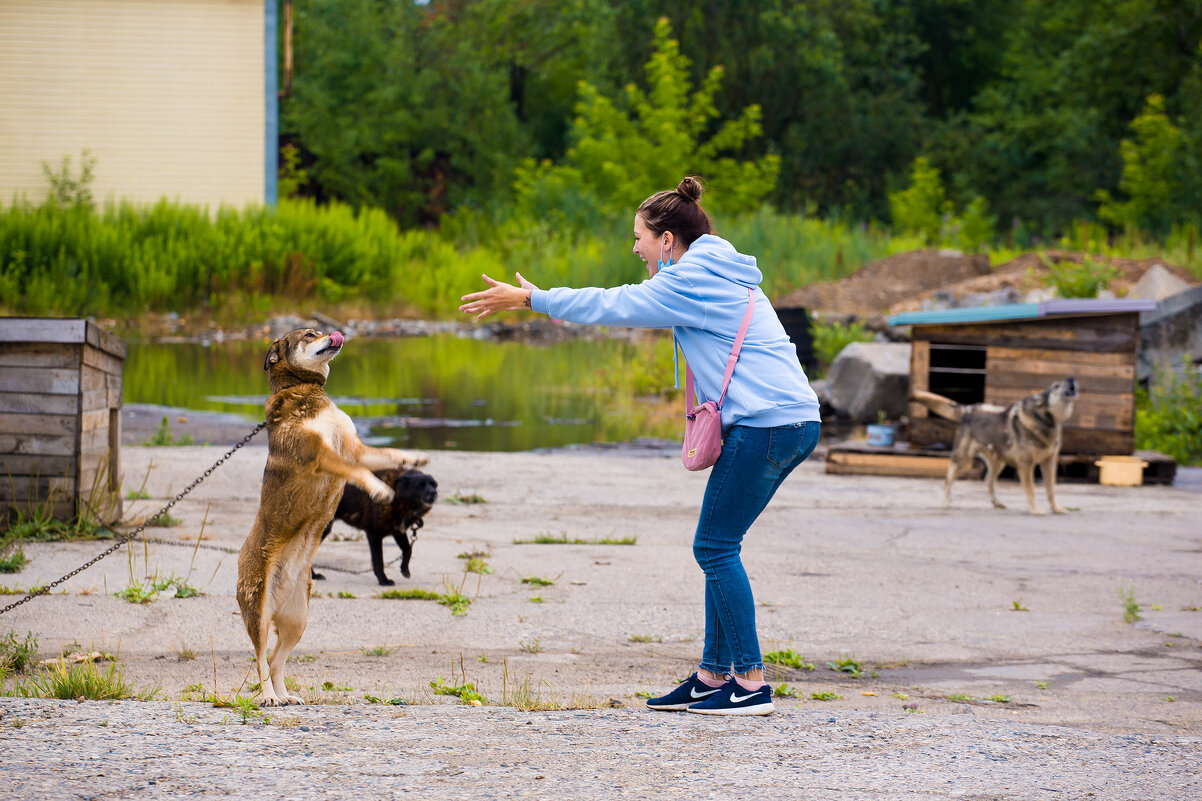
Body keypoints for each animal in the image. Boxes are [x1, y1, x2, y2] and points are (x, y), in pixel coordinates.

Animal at [234, 327, 427, 702]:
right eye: (310, 334)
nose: (337, 333)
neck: (304, 389)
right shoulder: (323, 454)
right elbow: (358, 472)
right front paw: (380, 489)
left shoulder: (356, 449)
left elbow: (387, 453)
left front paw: (413, 457)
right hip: (258, 612)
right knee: (261, 658)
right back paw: (268, 696)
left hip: (298, 620)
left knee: (277, 660)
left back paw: (286, 696)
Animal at [908, 377, 1081, 514]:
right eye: (1056, 386)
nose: (1072, 379)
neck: (1045, 421)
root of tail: (968, 409)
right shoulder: (1026, 465)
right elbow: (1031, 490)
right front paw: (1035, 510)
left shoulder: (1049, 462)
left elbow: (1051, 490)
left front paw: (1056, 509)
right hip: (963, 459)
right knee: (948, 479)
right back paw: (945, 502)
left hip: (999, 463)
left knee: (988, 481)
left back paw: (996, 503)